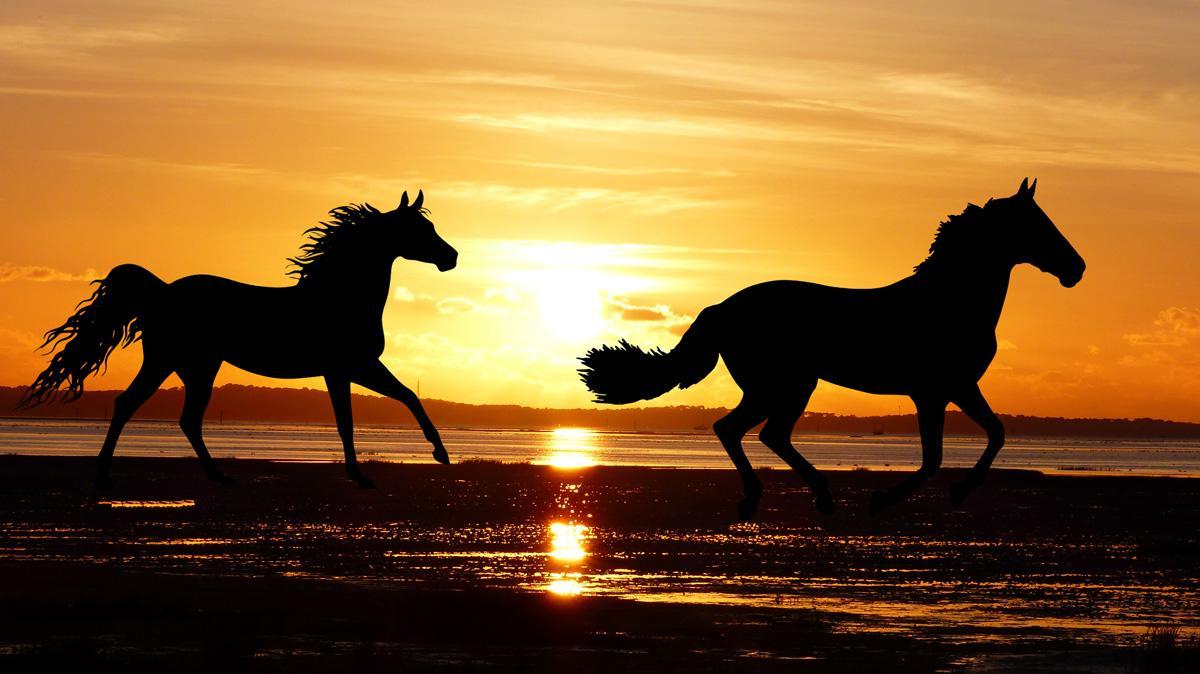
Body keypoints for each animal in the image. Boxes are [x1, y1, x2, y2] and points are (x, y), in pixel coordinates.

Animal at [19, 191, 457, 489]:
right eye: (422, 229)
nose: (451, 257)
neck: (340, 296)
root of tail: (160, 292)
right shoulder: (344, 369)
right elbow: (349, 421)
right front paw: (366, 474)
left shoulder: (358, 367)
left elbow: (406, 396)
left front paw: (440, 453)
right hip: (176, 363)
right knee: (148, 409)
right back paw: (119, 475)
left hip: (188, 366)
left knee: (169, 414)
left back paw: (205, 474)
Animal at [580, 179, 1085, 518]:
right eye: (1037, 224)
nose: (1076, 268)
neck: (947, 301)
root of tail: (724, 307)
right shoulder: (934, 392)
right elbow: (935, 458)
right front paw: (885, 499)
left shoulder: (957, 388)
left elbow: (995, 433)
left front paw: (957, 492)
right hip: (784, 385)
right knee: (750, 431)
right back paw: (793, 497)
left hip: (778, 387)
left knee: (751, 432)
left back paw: (792, 496)